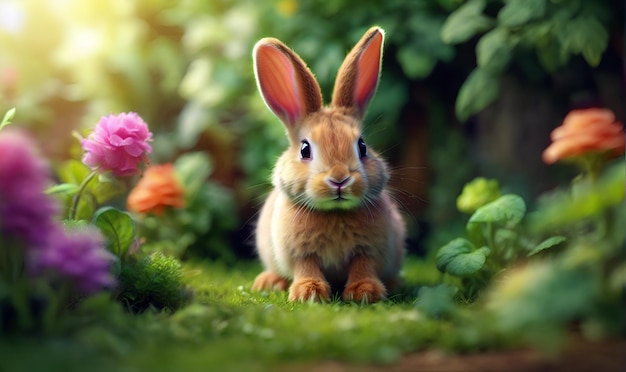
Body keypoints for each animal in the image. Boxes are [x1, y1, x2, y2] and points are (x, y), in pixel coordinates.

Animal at [250, 27, 404, 304]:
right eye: (305, 149)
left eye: (362, 147)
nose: (339, 179)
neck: (334, 213)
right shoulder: (299, 253)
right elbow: (306, 267)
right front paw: (308, 293)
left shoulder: (369, 250)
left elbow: (363, 267)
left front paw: (365, 292)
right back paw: (269, 282)